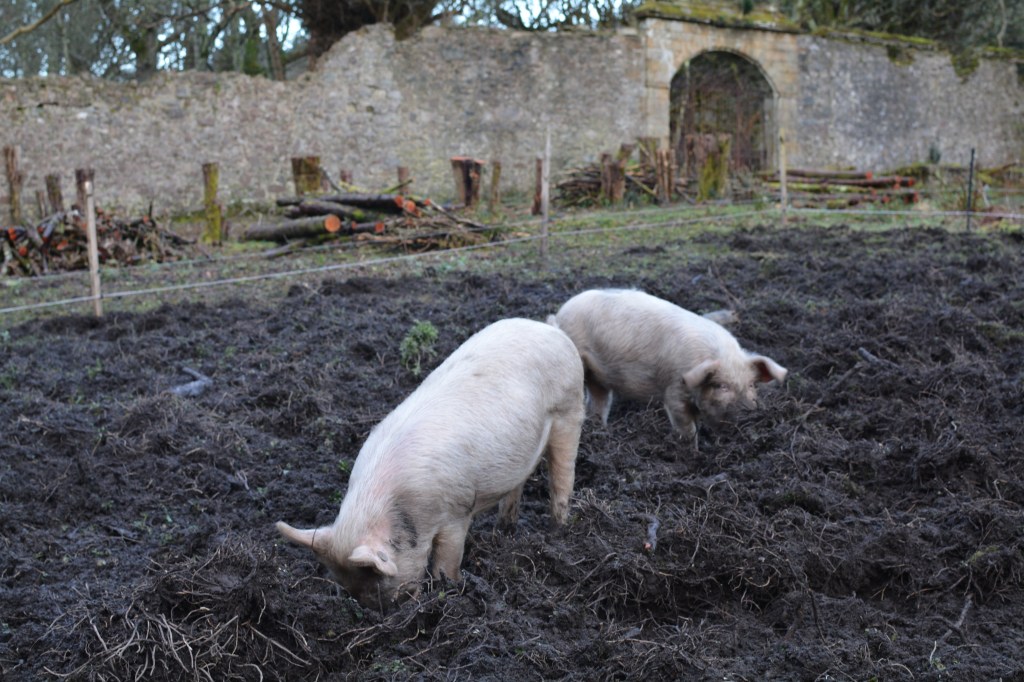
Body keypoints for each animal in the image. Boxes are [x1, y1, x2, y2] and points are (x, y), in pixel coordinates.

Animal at [276, 317, 585, 609]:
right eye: (349, 588)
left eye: (378, 577)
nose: (384, 611)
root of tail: (552, 330)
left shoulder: (456, 511)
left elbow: (446, 560)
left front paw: (448, 589)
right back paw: (503, 532)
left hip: (569, 411)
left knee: (563, 478)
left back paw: (557, 532)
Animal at [549, 289, 786, 444]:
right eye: (721, 386)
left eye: (752, 385)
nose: (750, 414)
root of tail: (560, 313)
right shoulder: (674, 389)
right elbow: (686, 426)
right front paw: (690, 450)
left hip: (599, 377)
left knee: (599, 401)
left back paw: (601, 431)